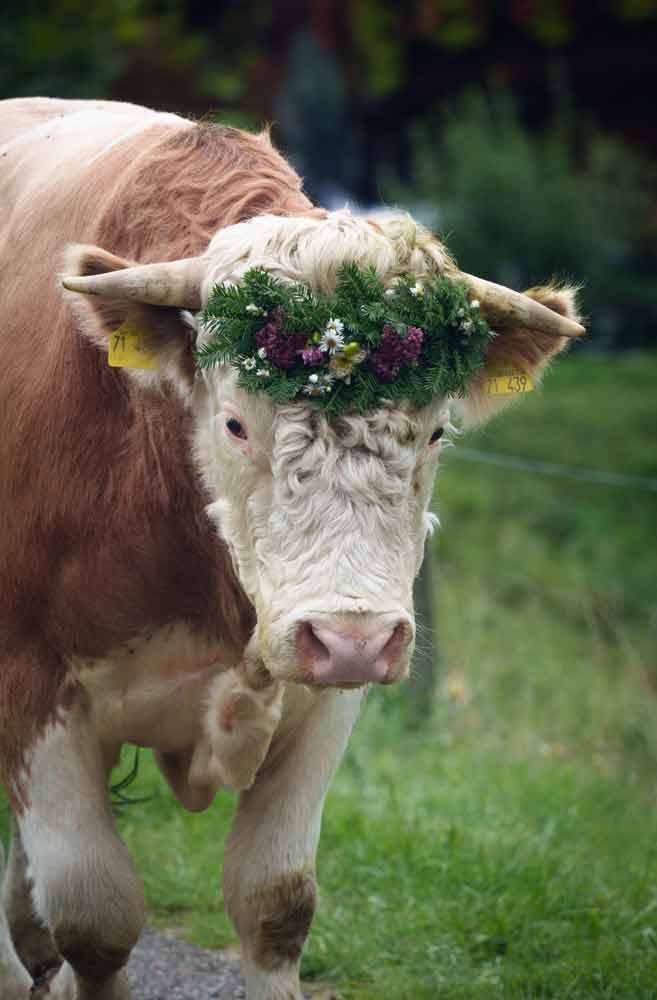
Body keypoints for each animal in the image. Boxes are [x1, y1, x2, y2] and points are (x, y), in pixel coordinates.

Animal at [0, 98, 583, 1000]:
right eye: (237, 423)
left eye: (436, 431)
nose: (350, 639)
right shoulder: (33, 686)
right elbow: (95, 920)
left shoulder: (327, 701)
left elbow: (274, 904)